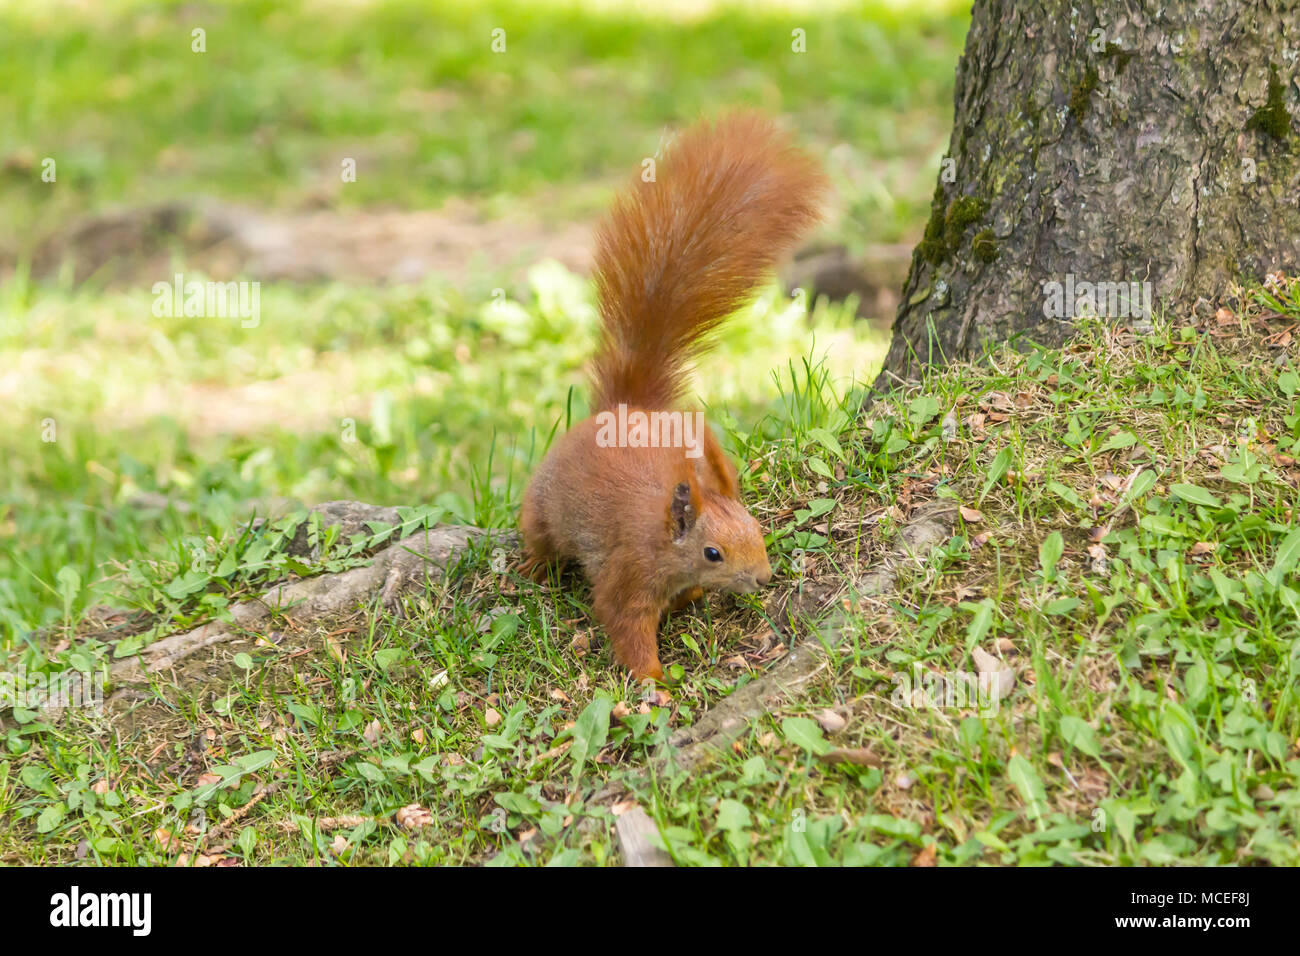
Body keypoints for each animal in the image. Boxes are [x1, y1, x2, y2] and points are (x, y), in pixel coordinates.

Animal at [519, 111, 828, 682]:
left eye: (756, 529)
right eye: (712, 553)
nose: (763, 579)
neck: (666, 544)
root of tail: (622, 409)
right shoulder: (630, 574)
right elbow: (625, 623)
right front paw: (654, 681)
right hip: (544, 505)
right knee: (540, 537)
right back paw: (532, 566)